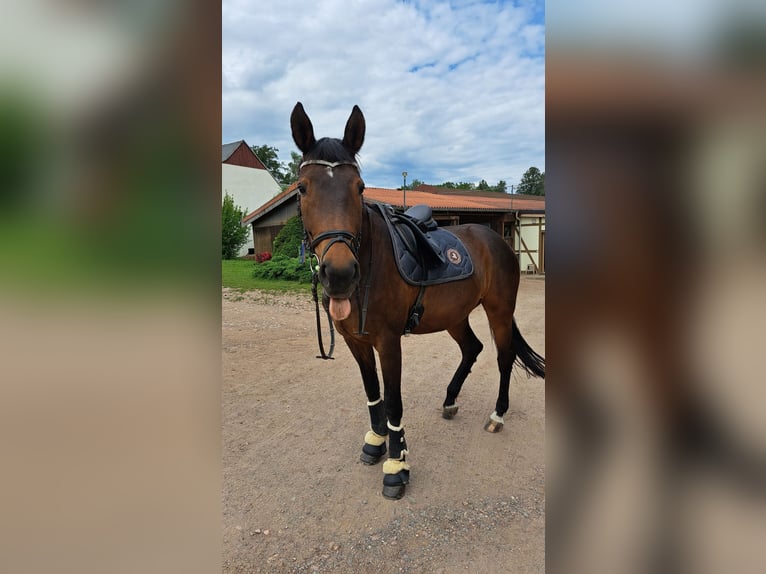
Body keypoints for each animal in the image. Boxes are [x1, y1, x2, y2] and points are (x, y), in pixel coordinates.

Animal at [290, 102, 545, 499]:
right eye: (302, 188)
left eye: (359, 187)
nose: (340, 274)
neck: (371, 262)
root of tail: (496, 237)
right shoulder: (355, 342)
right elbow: (373, 394)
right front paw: (376, 442)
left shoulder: (388, 341)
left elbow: (394, 400)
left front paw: (396, 466)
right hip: (455, 315)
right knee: (472, 348)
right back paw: (450, 401)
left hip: (499, 311)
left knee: (503, 357)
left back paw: (497, 415)